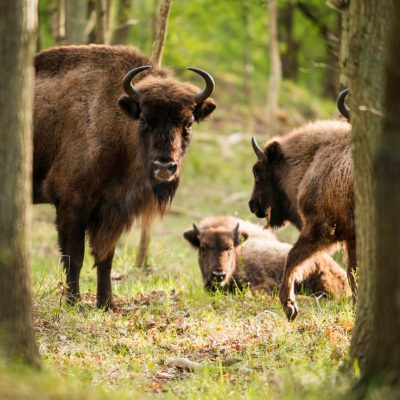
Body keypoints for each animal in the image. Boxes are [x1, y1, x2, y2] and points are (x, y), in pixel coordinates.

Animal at [33, 44, 216, 310]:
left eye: (189, 123)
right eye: (144, 120)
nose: (165, 166)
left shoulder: (112, 210)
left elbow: (105, 257)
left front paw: (107, 303)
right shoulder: (71, 205)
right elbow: (74, 257)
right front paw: (74, 302)